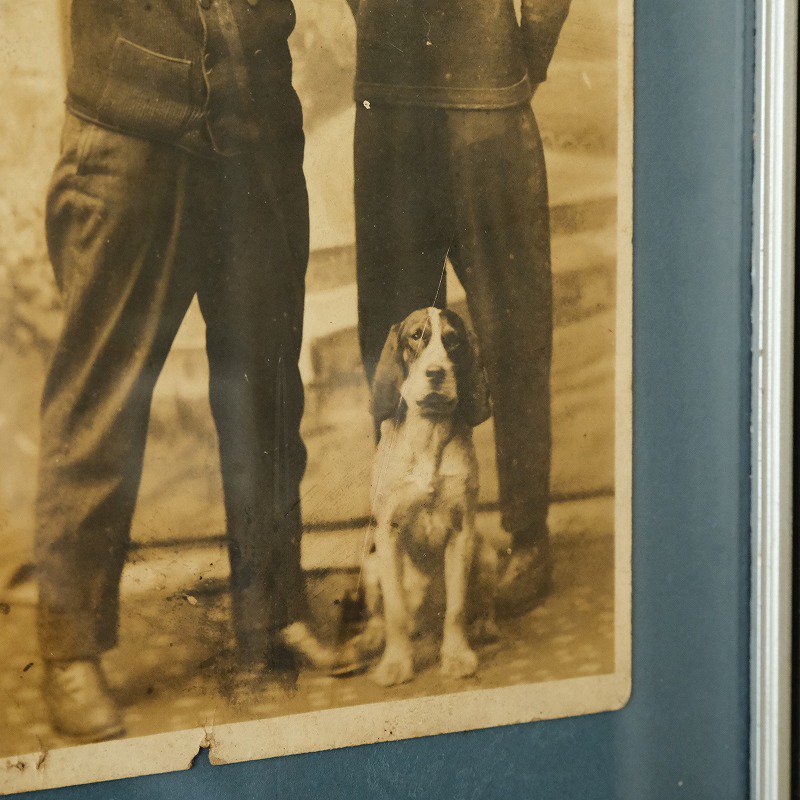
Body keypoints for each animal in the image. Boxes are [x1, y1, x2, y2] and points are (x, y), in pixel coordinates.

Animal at [360, 306, 496, 688]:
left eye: (453, 340)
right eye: (416, 336)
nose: (436, 373)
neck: (429, 433)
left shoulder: (462, 531)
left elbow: (457, 607)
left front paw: (457, 656)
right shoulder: (388, 534)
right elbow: (395, 610)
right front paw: (396, 662)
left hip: (487, 553)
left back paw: (485, 626)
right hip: (370, 565)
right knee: (386, 613)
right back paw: (375, 637)